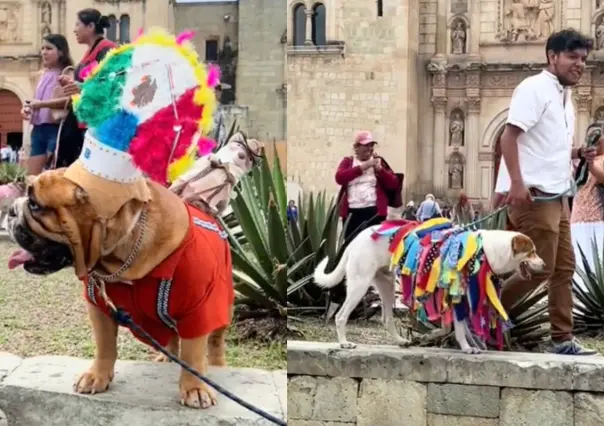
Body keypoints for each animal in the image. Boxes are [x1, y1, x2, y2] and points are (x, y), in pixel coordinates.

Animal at [314, 226, 544, 352]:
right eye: (532, 252)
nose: (544, 264)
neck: (486, 248)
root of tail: (354, 240)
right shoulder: (456, 295)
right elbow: (458, 328)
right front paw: (467, 348)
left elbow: (449, 326)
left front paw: (430, 337)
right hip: (360, 284)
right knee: (340, 316)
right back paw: (344, 343)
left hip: (386, 285)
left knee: (387, 319)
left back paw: (401, 341)